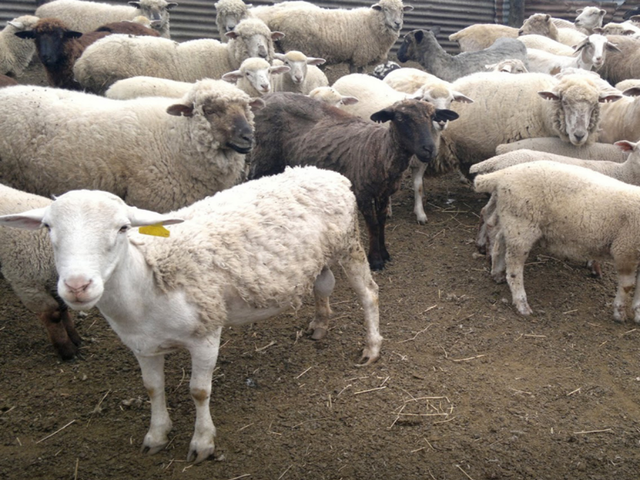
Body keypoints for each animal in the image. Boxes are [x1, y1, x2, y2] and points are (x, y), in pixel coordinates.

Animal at [248, 92, 458, 270]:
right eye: (400, 118)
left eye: (432, 117)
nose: (429, 149)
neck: (379, 151)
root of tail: (267, 96)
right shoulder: (362, 192)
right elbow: (373, 225)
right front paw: (376, 260)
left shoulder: (383, 193)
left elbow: (382, 222)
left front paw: (385, 253)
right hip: (264, 158)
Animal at [265, 0, 414, 73]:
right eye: (385, 9)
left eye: (401, 10)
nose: (397, 23)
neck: (371, 22)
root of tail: (277, 18)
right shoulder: (361, 56)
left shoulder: (355, 57)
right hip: (295, 46)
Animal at [474, 159, 640, 322]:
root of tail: (502, 175)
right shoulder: (626, 250)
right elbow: (627, 286)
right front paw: (619, 313)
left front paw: (637, 313)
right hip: (522, 226)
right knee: (514, 266)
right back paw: (521, 303)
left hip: (511, 220)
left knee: (499, 242)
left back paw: (497, 274)